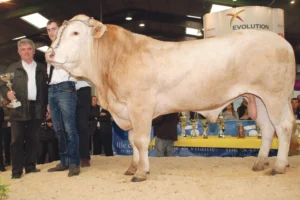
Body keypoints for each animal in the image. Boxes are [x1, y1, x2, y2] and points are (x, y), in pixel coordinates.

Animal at [45, 14, 296, 182]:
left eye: (75, 33)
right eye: (59, 34)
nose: (49, 54)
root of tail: (281, 41)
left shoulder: (140, 106)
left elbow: (141, 140)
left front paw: (141, 172)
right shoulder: (127, 110)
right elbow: (131, 140)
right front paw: (132, 167)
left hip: (275, 96)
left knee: (283, 127)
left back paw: (279, 166)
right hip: (258, 98)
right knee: (268, 127)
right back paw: (260, 162)